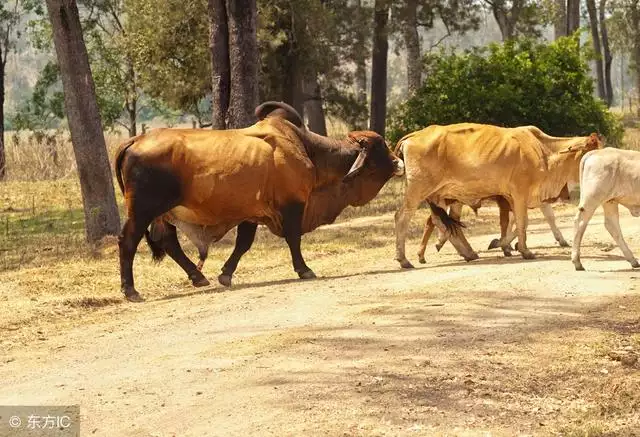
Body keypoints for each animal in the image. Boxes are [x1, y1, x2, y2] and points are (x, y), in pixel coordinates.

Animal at [114, 101, 402, 302]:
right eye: (380, 147)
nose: (399, 161)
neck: (308, 150)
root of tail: (135, 139)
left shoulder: (252, 212)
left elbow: (243, 244)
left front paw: (225, 274)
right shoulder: (292, 206)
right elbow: (294, 239)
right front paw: (304, 269)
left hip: (162, 214)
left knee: (169, 242)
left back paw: (198, 277)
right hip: (142, 210)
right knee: (128, 242)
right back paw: (131, 291)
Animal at [392, 121, 604, 268]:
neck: (545, 151)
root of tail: (414, 135)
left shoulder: (512, 198)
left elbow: (514, 224)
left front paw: (504, 244)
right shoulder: (519, 194)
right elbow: (523, 223)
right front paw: (524, 250)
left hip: (439, 196)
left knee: (441, 222)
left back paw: (468, 253)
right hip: (418, 190)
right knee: (402, 217)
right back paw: (404, 259)